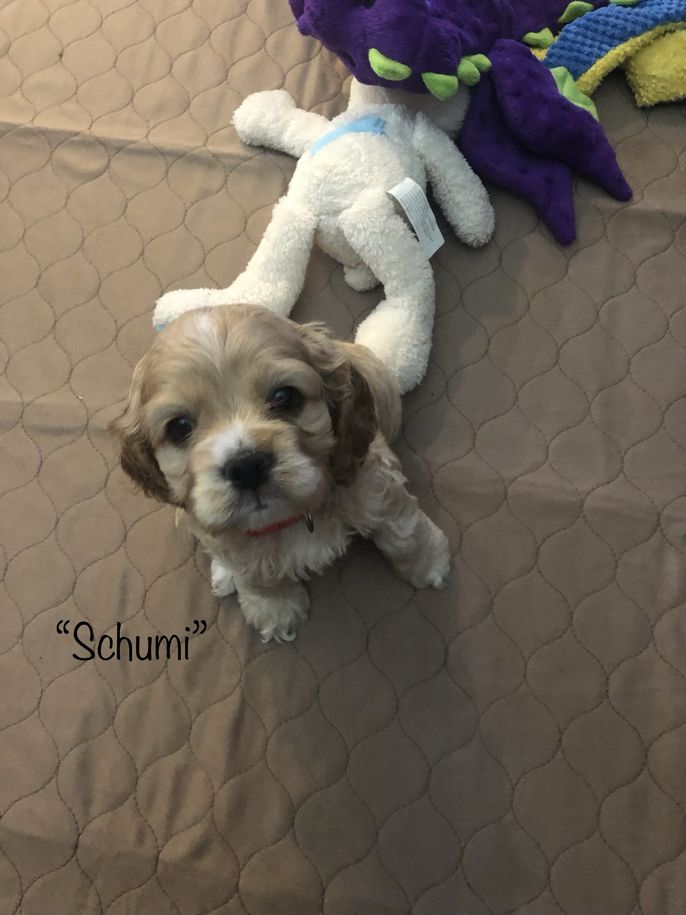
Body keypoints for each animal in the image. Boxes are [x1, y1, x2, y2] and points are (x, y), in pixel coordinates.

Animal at [110, 304, 450, 642]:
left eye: (285, 397)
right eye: (179, 427)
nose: (246, 467)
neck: (286, 518)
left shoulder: (374, 488)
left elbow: (403, 533)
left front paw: (429, 563)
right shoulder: (230, 543)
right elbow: (258, 576)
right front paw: (275, 611)